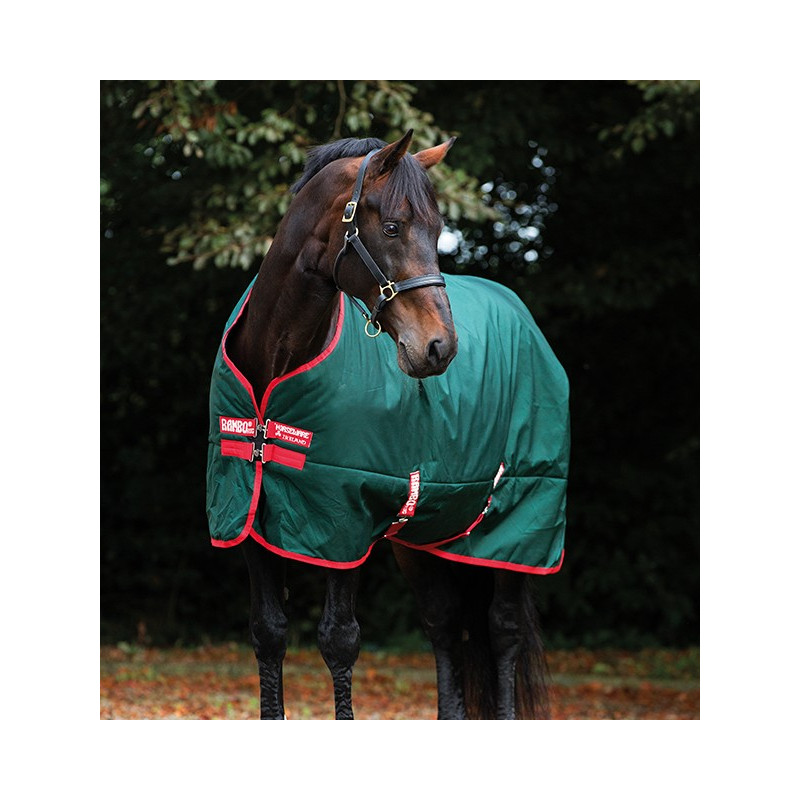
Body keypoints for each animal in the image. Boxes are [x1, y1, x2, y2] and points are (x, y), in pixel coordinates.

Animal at [206, 130, 569, 719]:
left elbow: (339, 640)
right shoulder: (248, 514)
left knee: (503, 631)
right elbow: (269, 633)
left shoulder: (343, 519)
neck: (275, 367)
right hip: (427, 535)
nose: (440, 347)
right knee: (444, 625)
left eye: (439, 230)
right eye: (395, 226)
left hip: (520, 525)